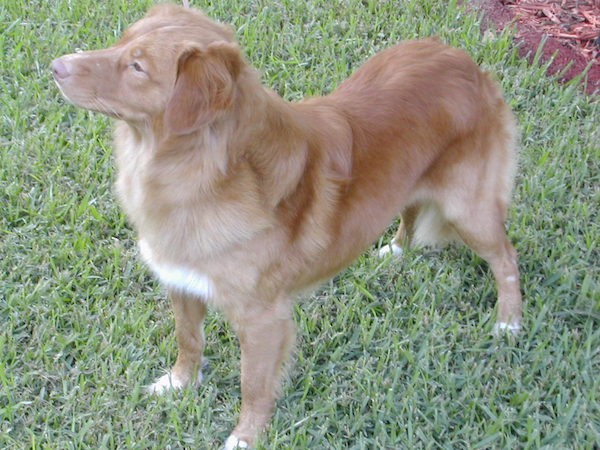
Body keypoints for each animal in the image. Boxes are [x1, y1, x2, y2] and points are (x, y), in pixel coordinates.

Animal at [50, 4, 520, 450]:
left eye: (137, 66)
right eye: (121, 41)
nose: (55, 66)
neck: (200, 173)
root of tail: (468, 64)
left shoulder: (263, 319)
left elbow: (254, 384)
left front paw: (245, 436)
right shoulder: (182, 282)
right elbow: (189, 341)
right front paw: (180, 383)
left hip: (468, 208)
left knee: (506, 257)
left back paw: (509, 322)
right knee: (411, 207)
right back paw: (397, 249)